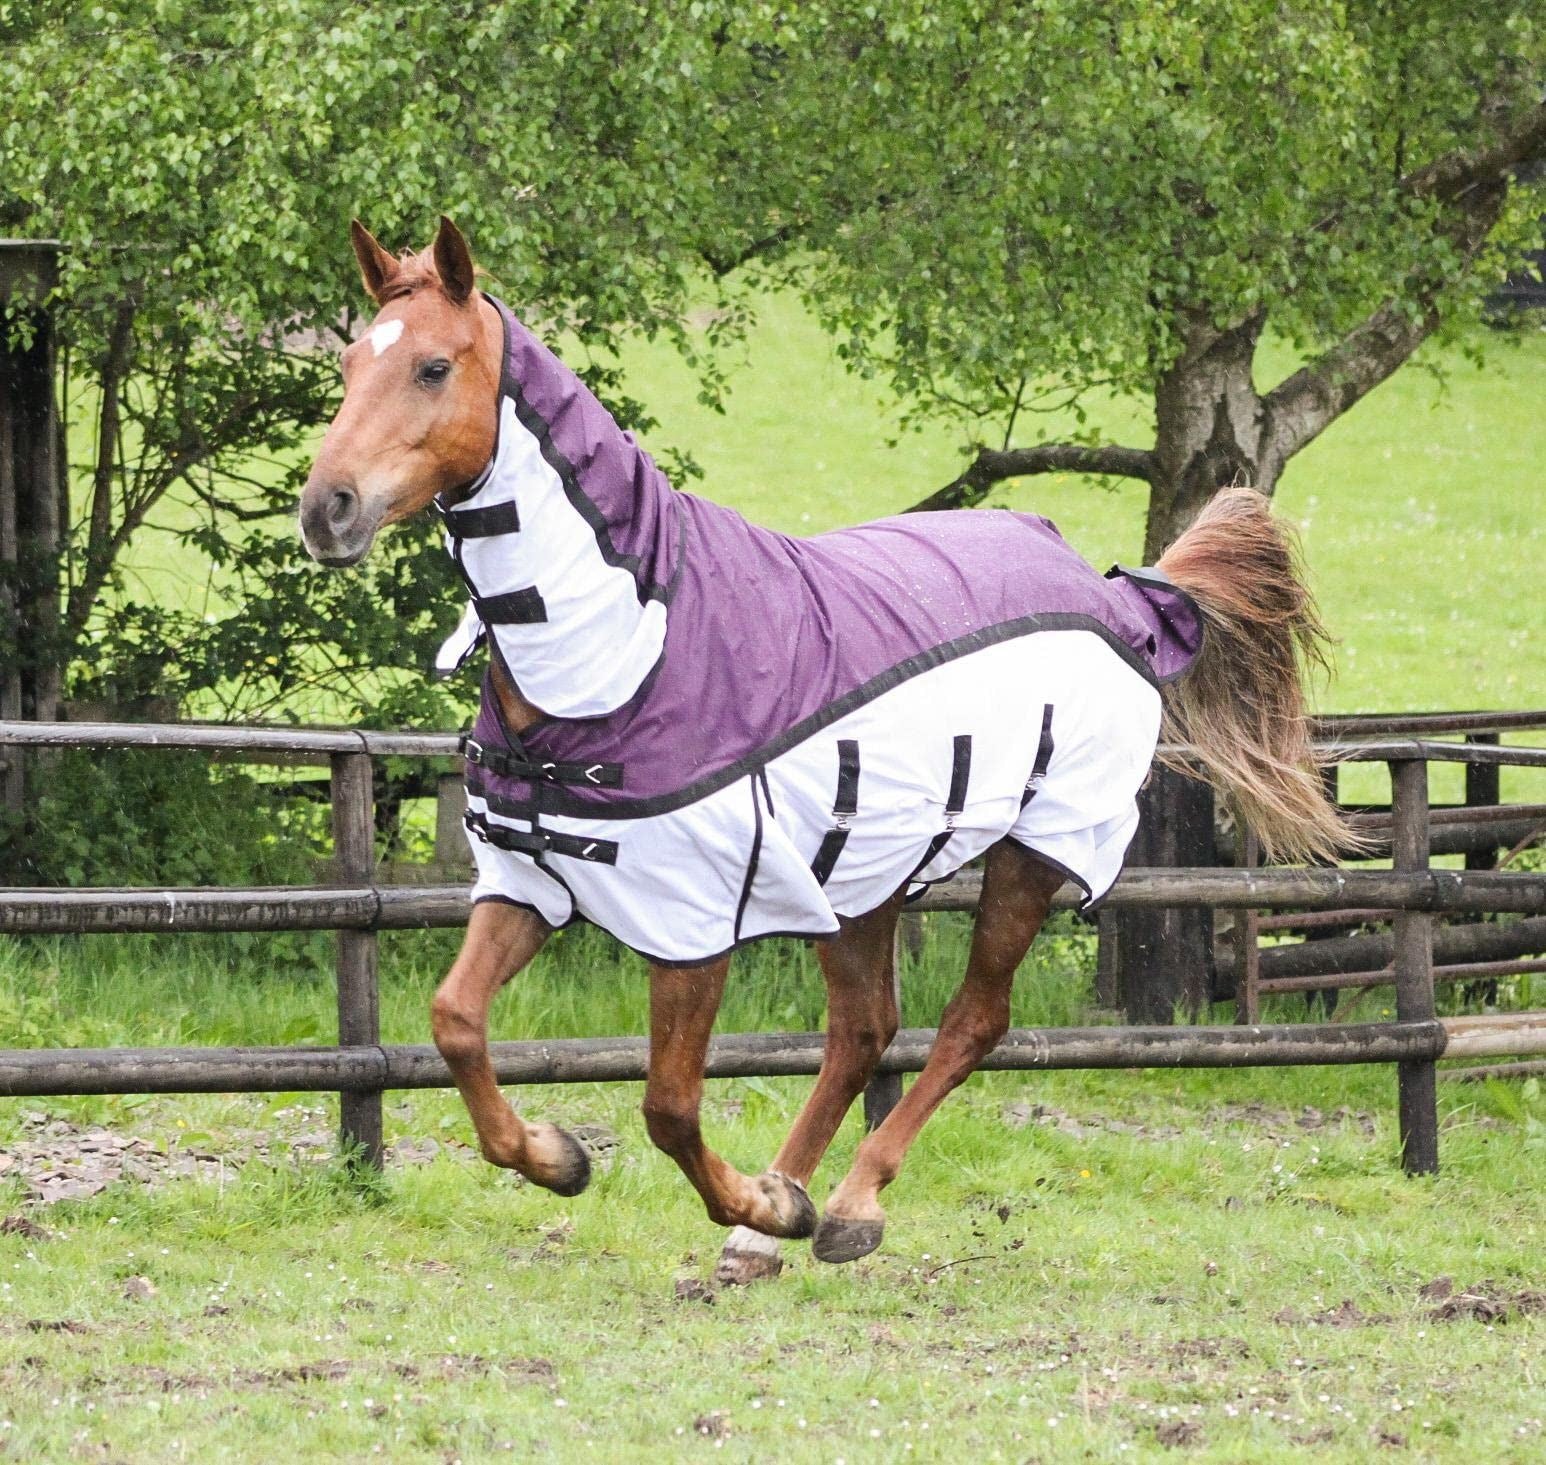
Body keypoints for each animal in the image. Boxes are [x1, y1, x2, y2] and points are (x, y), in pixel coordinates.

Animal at [300, 217, 1346, 1282]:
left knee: (972, 1021)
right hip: (865, 874)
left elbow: (668, 1107)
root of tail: (1126, 594)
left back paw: (840, 1206)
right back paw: (771, 1228)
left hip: (1033, 853)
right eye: (346, 362)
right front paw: (559, 1159)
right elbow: (455, 1022)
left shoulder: (695, 917)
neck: (636, 644)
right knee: (863, 1028)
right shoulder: (532, 878)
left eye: (433, 366)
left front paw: (750, 1198)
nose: (326, 508)